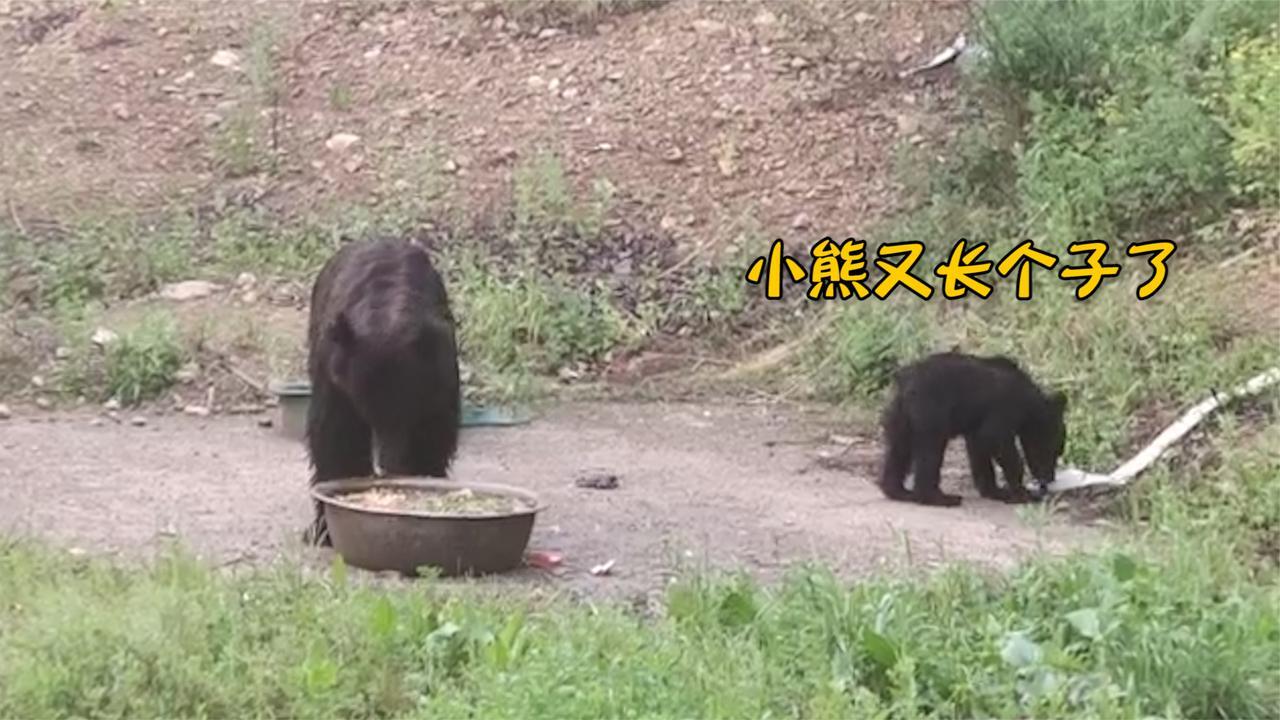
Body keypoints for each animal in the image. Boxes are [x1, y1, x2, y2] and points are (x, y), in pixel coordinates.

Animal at [302, 237, 461, 546]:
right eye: (368, 413)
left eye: (408, 415)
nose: (387, 468)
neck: (386, 320)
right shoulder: (335, 377)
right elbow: (334, 438)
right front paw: (323, 529)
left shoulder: (440, 381)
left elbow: (434, 437)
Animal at [877, 351, 1067, 507]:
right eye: (1053, 450)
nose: (1049, 478)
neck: (1030, 403)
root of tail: (903, 381)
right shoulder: (1003, 409)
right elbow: (995, 438)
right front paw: (1022, 493)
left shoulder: (976, 425)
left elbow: (979, 450)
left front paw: (996, 491)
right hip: (930, 411)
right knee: (930, 451)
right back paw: (940, 498)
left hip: (900, 417)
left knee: (898, 450)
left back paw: (899, 491)